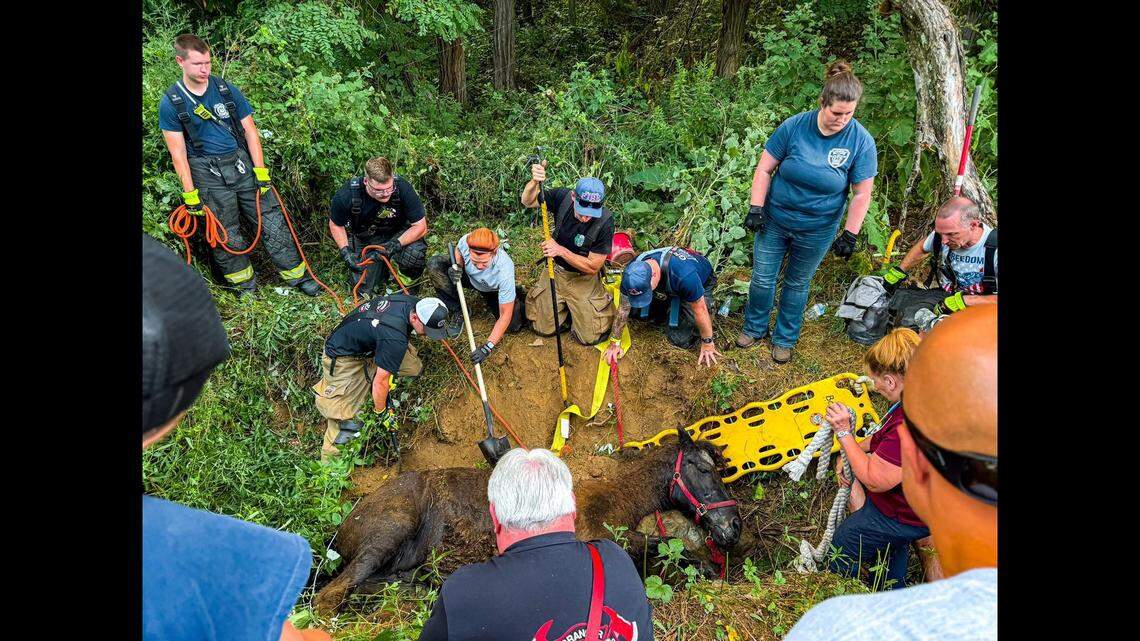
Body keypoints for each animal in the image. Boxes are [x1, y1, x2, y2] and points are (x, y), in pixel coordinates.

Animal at [314, 427, 742, 614]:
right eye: (705, 469)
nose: (734, 528)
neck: (614, 498)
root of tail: (339, 532)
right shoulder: (596, 538)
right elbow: (667, 548)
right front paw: (707, 569)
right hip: (390, 529)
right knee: (330, 595)